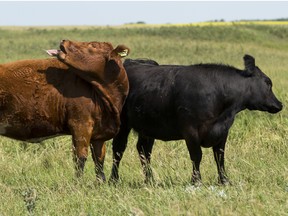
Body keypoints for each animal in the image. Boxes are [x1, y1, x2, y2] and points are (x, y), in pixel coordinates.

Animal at [0, 39, 129, 181]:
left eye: (93, 46)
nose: (64, 41)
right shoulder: (80, 125)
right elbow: (80, 158)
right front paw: (78, 183)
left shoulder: (98, 135)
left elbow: (99, 161)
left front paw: (100, 182)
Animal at [109, 54, 282, 185]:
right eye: (268, 83)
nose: (279, 104)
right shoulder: (190, 131)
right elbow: (196, 156)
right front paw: (196, 181)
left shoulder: (223, 131)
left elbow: (220, 156)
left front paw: (224, 181)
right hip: (123, 124)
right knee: (118, 149)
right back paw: (114, 180)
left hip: (148, 127)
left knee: (144, 150)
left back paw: (150, 180)